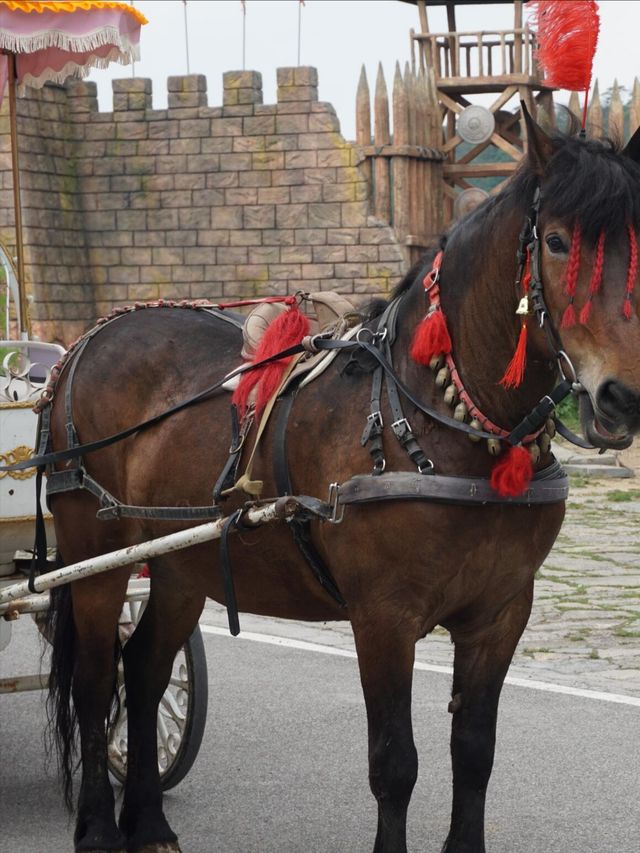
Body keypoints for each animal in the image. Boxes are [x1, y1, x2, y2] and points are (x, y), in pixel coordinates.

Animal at [42, 111, 640, 852]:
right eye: (557, 242)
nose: (622, 396)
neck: (441, 420)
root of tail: (83, 343)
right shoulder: (382, 616)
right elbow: (395, 763)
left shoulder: (501, 613)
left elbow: (474, 751)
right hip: (96, 555)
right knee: (98, 682)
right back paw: (99, 825)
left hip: (182, 562)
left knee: (147, 669)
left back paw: (149, 821)